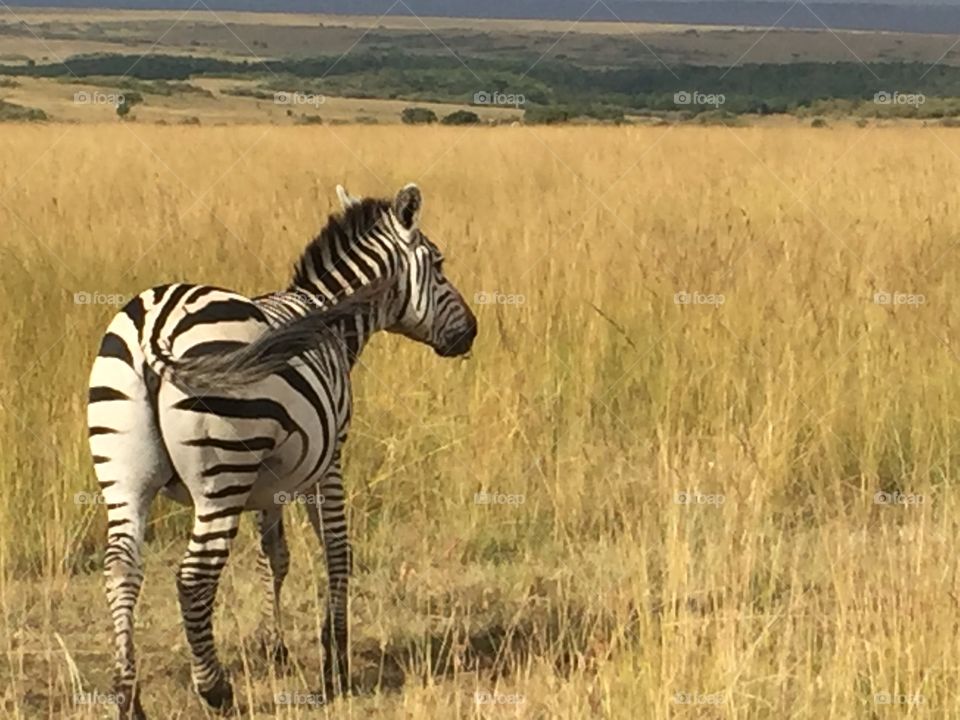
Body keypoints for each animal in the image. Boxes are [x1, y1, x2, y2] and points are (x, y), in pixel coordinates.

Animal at [88, 184, 478, 720]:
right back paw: (215, 690)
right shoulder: (328, 460)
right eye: (439, 265)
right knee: (193, 578)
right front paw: (335, 661)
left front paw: (274, 648)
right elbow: (337, 549)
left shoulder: (267, 484)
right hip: (222, 473)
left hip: (124, 474)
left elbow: (274, 556)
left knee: (121, 569)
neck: (329, 316)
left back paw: (128, 697)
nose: (471, 332)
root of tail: (155, 327)